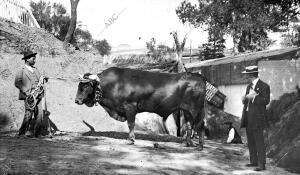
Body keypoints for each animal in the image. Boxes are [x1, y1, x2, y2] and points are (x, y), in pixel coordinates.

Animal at [74, 67, 206, 149]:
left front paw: (131, 140)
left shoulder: (130, 107)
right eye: (79, 85)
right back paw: (188, 143)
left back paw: (200, 146)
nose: (77, 100)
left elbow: (131, 124)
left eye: (85, 86)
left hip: (196, 110)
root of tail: (197, 76)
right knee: (189, 125)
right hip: (187, 111)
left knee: (200, 125)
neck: (115, 83)